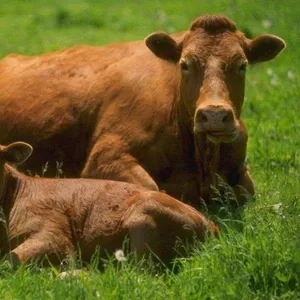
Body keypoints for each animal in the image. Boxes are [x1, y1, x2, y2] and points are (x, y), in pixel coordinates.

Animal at [0, 14, 286, 206]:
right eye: (185, 64)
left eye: (242, 65)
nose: (214, 115)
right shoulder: (105, 157)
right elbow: (150, 188)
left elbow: (245, 191)